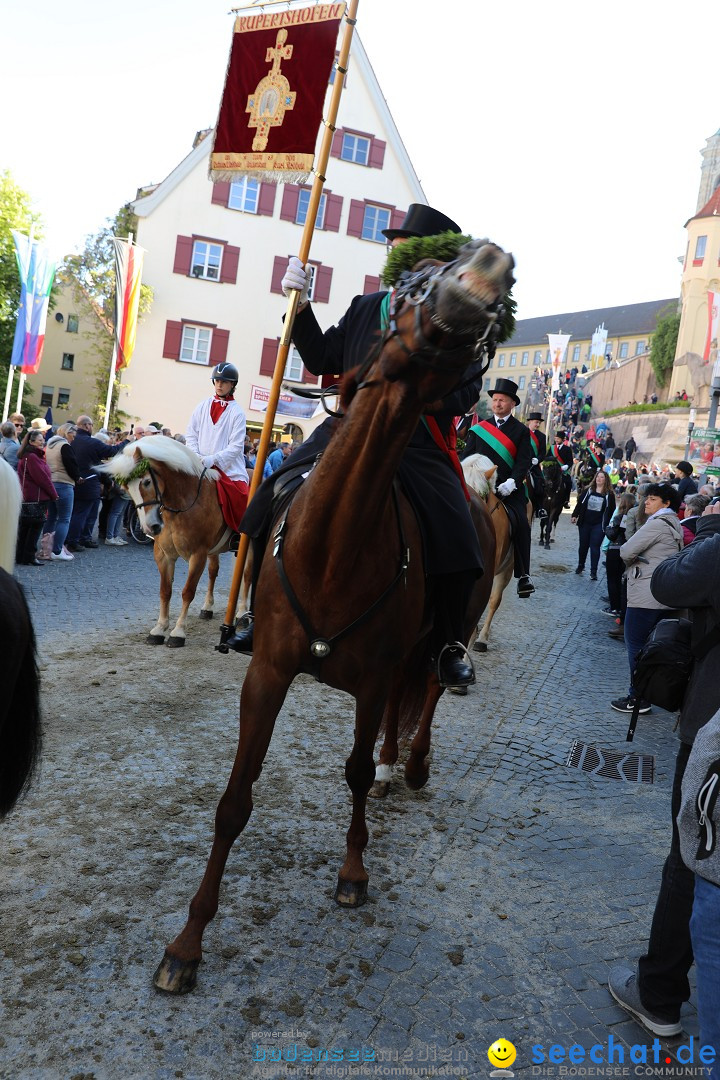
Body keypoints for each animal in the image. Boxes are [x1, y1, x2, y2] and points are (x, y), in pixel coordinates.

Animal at [102, 434, 234, 643]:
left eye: (147, 482)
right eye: (126, 488)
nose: (150, 527)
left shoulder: (198, 555)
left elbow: (188, 592)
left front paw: (178, 631)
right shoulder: (163, 555)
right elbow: (165, 591)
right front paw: (160, 628)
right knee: (214, 571)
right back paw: (208, 607)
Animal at [152, 238, 515, 993]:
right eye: (410, 286)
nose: (490, 264)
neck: (336, 547)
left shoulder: (372, 683)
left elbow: (351, 771)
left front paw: (352, 871)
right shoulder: (267, 672)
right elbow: (235, 800)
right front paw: (187, 944)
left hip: (447, 634)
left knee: (429, 689)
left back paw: (412, 763)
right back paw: (394, 766)